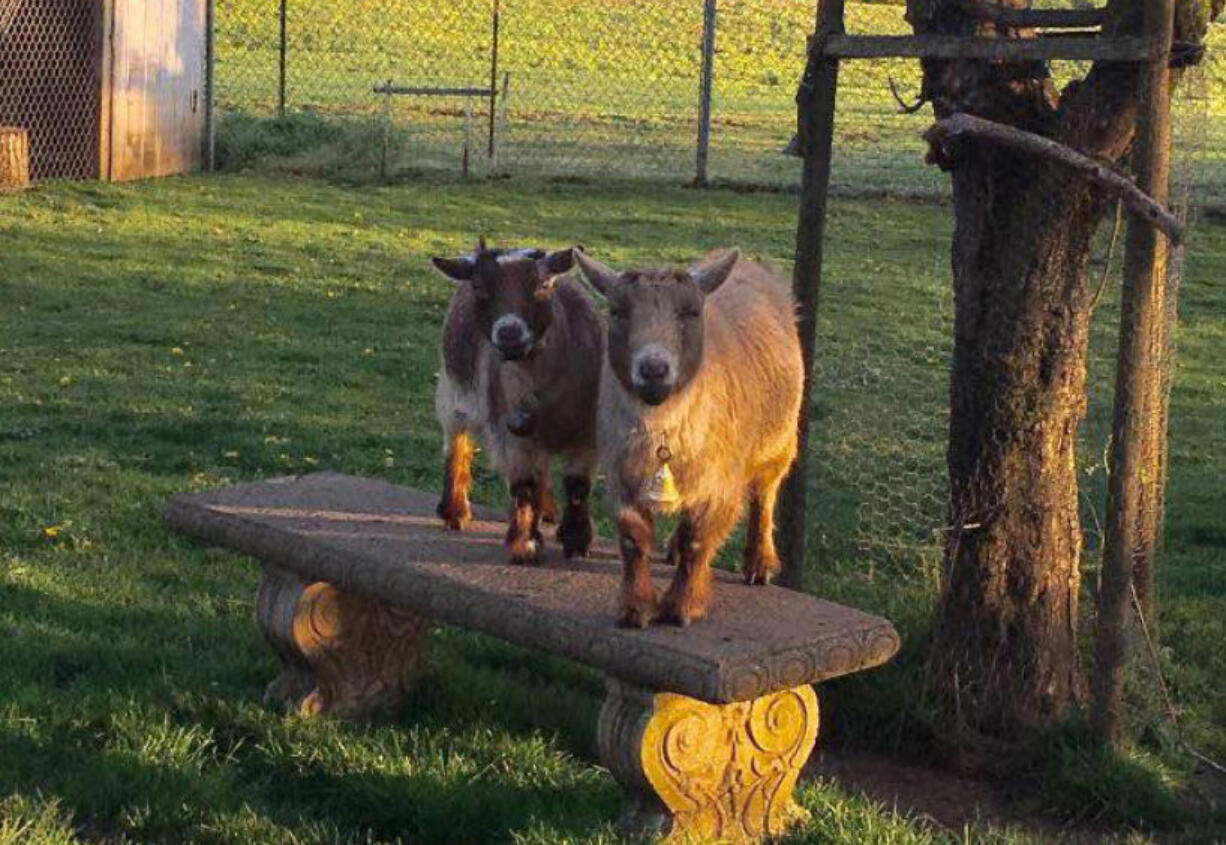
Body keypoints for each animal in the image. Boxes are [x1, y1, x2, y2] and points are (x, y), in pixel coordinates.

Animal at [434, 240, 605, 564]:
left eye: (542, 285)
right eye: (479, 286)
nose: (509, 332)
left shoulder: (587, 432)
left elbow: (578, 484)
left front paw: (577, 541)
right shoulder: (509, 431)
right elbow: (523, 485)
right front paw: (525, 543)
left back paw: (549, 511)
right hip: (454, 391)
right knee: (457, 443)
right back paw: (454, 511)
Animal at [573, 247, 804, 623]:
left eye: (691, 312)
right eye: (618, 311)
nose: (653, 370)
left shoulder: (722, 481)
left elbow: (700, 540)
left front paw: (683, 607)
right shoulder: (623, 474)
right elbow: (633, 540)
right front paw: (636, 608)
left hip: (780, 442)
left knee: (765, 496)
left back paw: (759, 563)